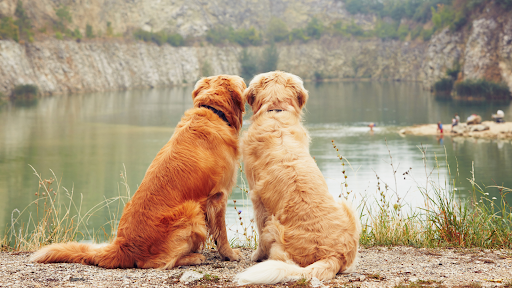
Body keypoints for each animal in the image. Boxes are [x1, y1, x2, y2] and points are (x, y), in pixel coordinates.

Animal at [31, 75, 247, 268]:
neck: (213, 112)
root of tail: (122, 246)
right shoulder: (218, 196)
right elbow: (221, 233)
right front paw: (229, 254)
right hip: (191, 211)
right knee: (158, 263)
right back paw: (192, 257)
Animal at [236, 71, 360, 284]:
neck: (275, 113)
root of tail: (333, 256)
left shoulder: (257, 199)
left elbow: (259, 232)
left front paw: (257, 255)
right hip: (348, 209)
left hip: (274, 228)